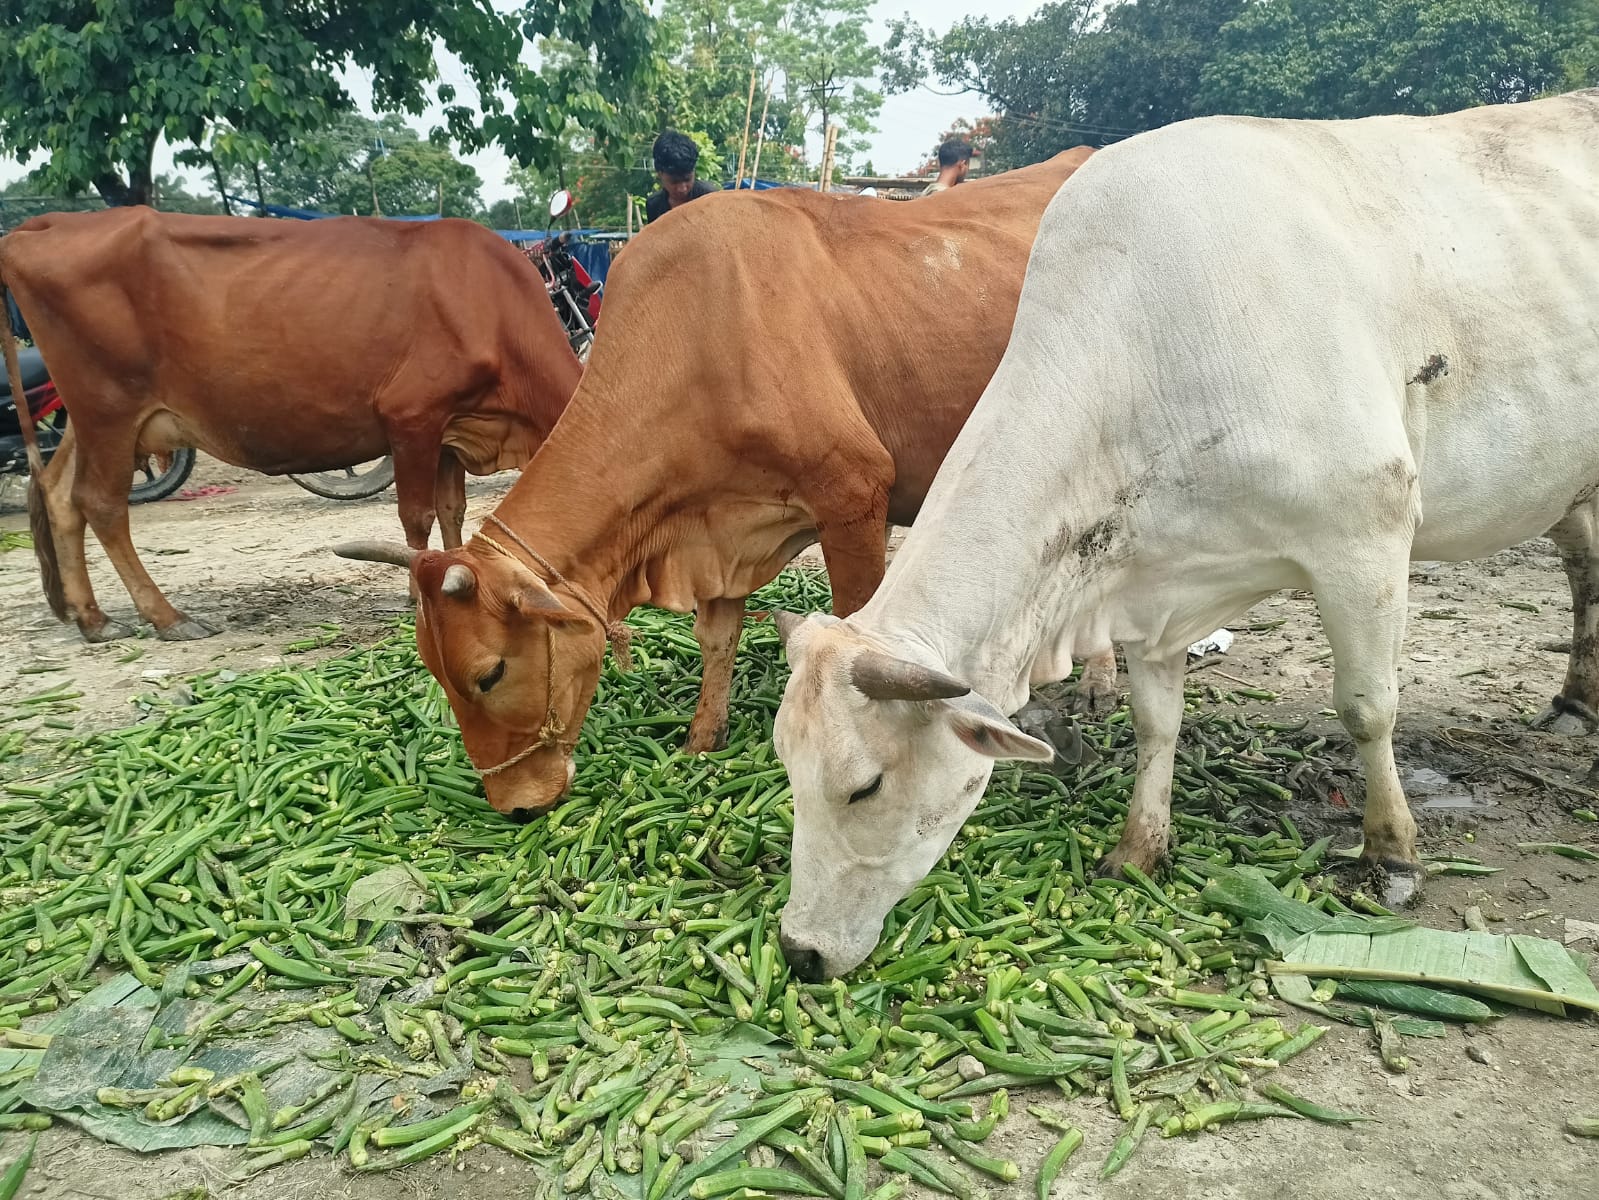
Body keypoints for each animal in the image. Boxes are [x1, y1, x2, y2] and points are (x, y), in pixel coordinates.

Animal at [1, 211, 582, 652]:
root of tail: (43, 225)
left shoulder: (452, 430)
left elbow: (451, 511)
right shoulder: (412, 416)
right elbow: (416, 517)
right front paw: (417, 596)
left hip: (92, 419)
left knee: (59, 496)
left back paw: (92, 618)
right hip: (110, 408)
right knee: (99, 503)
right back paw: (167, 618)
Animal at [337, 145, 1112, 812]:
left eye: (489, 673)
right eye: (433, 672)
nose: (514, 806)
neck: (700, 337)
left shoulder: (854, 494)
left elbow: (859, 624)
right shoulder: (716, 529)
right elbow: (716, 638)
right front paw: (700, 740)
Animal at [767, 89, 1599, 979]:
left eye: (864, 786)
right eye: (785, 766)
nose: (799, 949)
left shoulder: (1365, 534)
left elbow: (1367, 707)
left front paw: (1392, 853)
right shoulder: (1147, 575)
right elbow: (1154, 721)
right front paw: (1140, 846)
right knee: (1584, 567)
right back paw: (1573, 701)